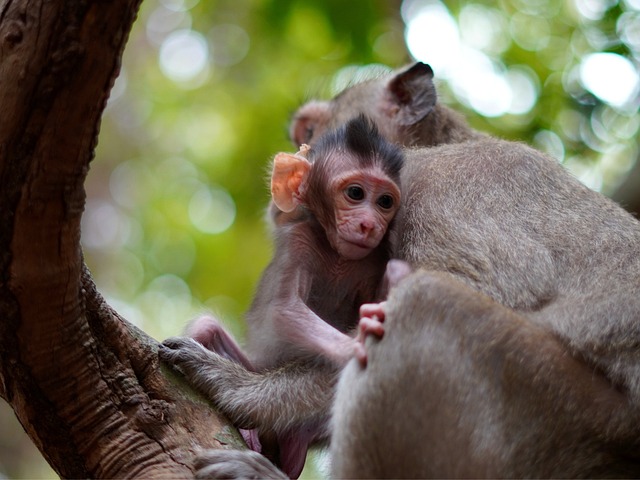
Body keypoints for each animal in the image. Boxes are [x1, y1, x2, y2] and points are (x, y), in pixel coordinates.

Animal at [192, 62, 640, 476]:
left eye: (310, 131)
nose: (279, 183)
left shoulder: (441, 192)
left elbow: (496, 289)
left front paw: (245, 391)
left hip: (564, 420)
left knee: (421, 303)